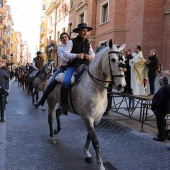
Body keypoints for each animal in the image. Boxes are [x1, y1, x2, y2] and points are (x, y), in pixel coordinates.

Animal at [46, 39, 126, 169]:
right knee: (50, 118)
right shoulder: (88, 118)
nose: (121, 85)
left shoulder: (96, 119)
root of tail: (51, 77)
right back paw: (52, 136)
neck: (96, 88)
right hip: (51, 102)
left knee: (58, 112)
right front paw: (100, 165)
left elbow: (89, 137)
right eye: (113, 59)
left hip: (63, 105)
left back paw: (57, 130)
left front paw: (87, 154)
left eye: (124, 59)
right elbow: (96, 142)